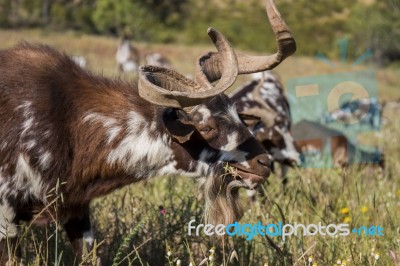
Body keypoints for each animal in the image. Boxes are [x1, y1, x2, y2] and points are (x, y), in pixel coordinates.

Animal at [0, 0, 294, 262]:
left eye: (238, 116)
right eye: (207, 126)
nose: (263, 163)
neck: (69, 122)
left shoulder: (77, 211)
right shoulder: (6, 214)